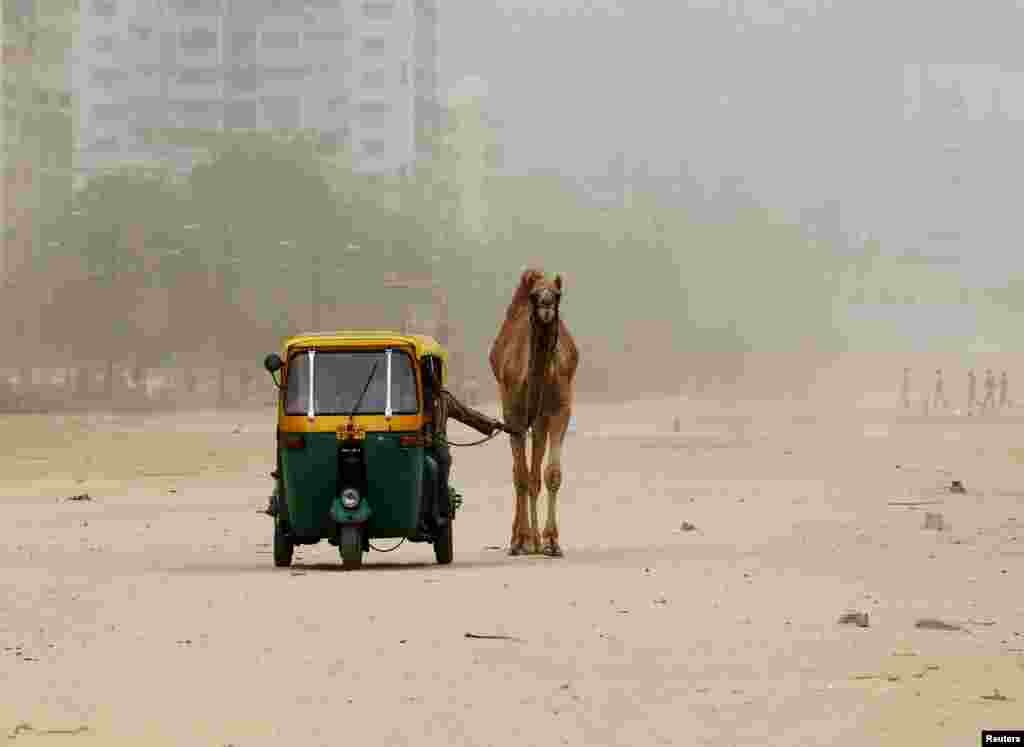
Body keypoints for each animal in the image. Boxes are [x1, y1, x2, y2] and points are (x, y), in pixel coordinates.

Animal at [487, 268, 577, 553]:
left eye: (557, 294)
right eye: (534, 295)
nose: (546, 306)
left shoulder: (559, 410)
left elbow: (550, 474)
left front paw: (551, 541)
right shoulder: (512, 414)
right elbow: (521, 476)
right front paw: (520, 540)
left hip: (541, 420)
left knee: (535, 469)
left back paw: (535, 540)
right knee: (522, 473)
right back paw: (522, 538)